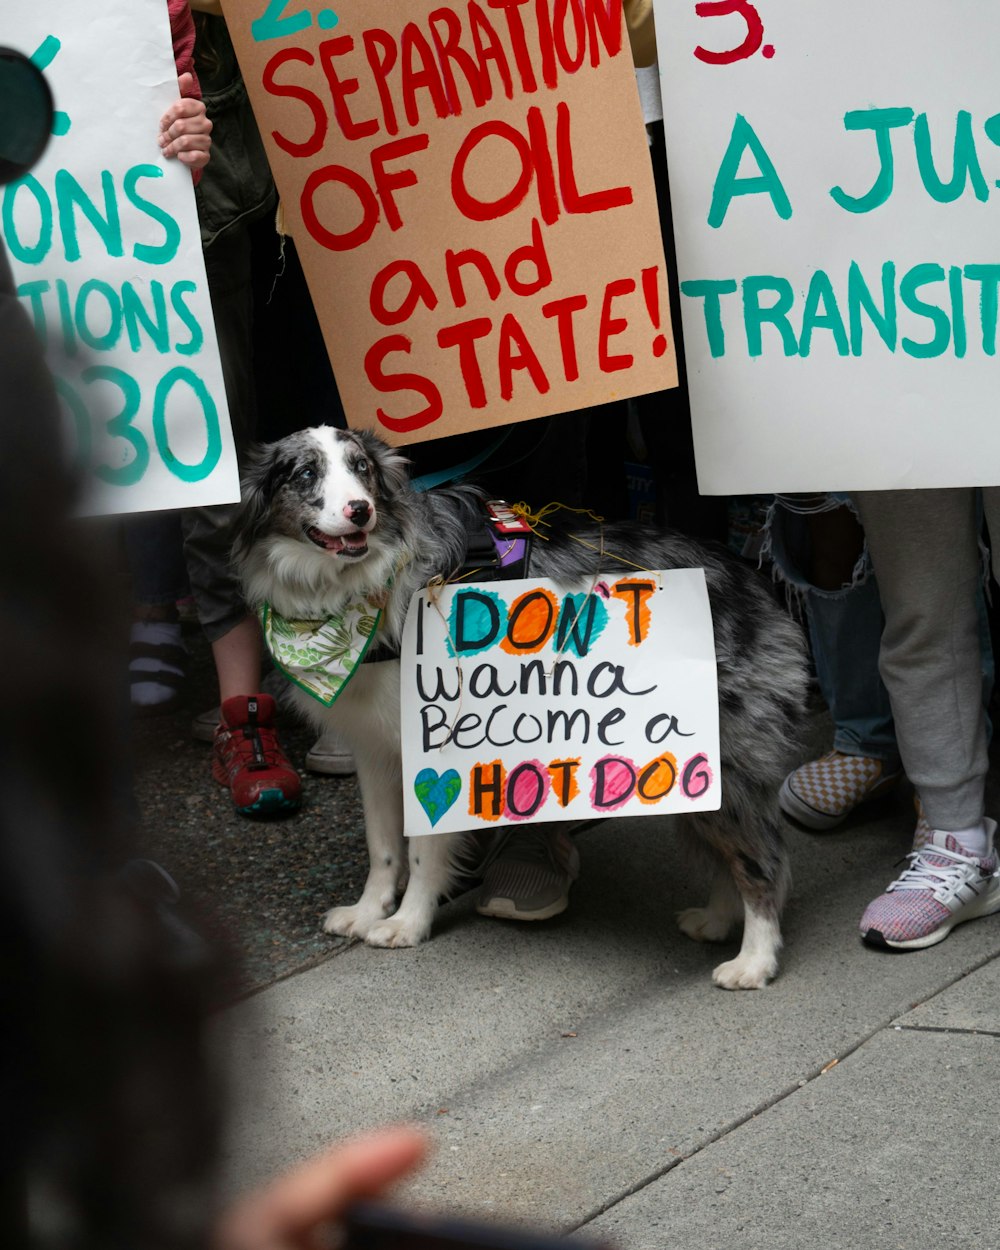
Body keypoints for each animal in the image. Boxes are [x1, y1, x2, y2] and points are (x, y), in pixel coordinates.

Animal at [235, 425, 810, 990]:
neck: (357, 588)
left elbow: (422, 849)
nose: (360, 511)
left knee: (763, 860)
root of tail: (756, 583)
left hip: (722, 763)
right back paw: (717, 920)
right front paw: (368, 911)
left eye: (361, 469)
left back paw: (754, 960)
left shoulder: (435, 740)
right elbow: (383, 846)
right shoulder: (373, 749)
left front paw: (407, 923)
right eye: (305, 473)